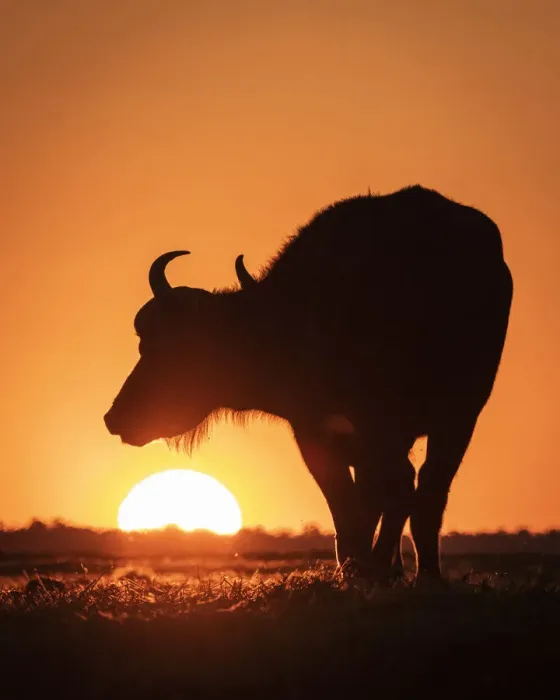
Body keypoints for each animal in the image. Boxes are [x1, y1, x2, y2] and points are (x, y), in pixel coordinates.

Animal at [104, 185, 513, 584]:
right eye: (145, 341)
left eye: (173, 349)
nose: (115, 418)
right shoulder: (318, 432)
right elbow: (349, 501)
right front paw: (360, 568)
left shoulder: (361, 430)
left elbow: (369, 498)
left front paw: (366, 569)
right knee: (411, 487)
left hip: (455, 418)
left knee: (421, 490)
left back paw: (414, 573)